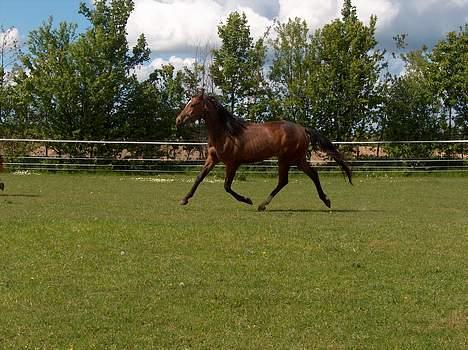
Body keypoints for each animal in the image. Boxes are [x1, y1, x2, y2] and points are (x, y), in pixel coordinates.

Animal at [176, 90, 352, 211]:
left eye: (193, 105)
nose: (178, 120)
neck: (226, 133)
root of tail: (303, 129)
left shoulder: (232, 163)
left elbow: (227, 186)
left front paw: (247, 200)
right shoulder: (212, 159)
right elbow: (199, 177)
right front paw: (184, 199)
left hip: (285, 159)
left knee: (283, 181)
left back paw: (262, 205)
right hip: (298, 159)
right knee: (312, 174)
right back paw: (326, 200)